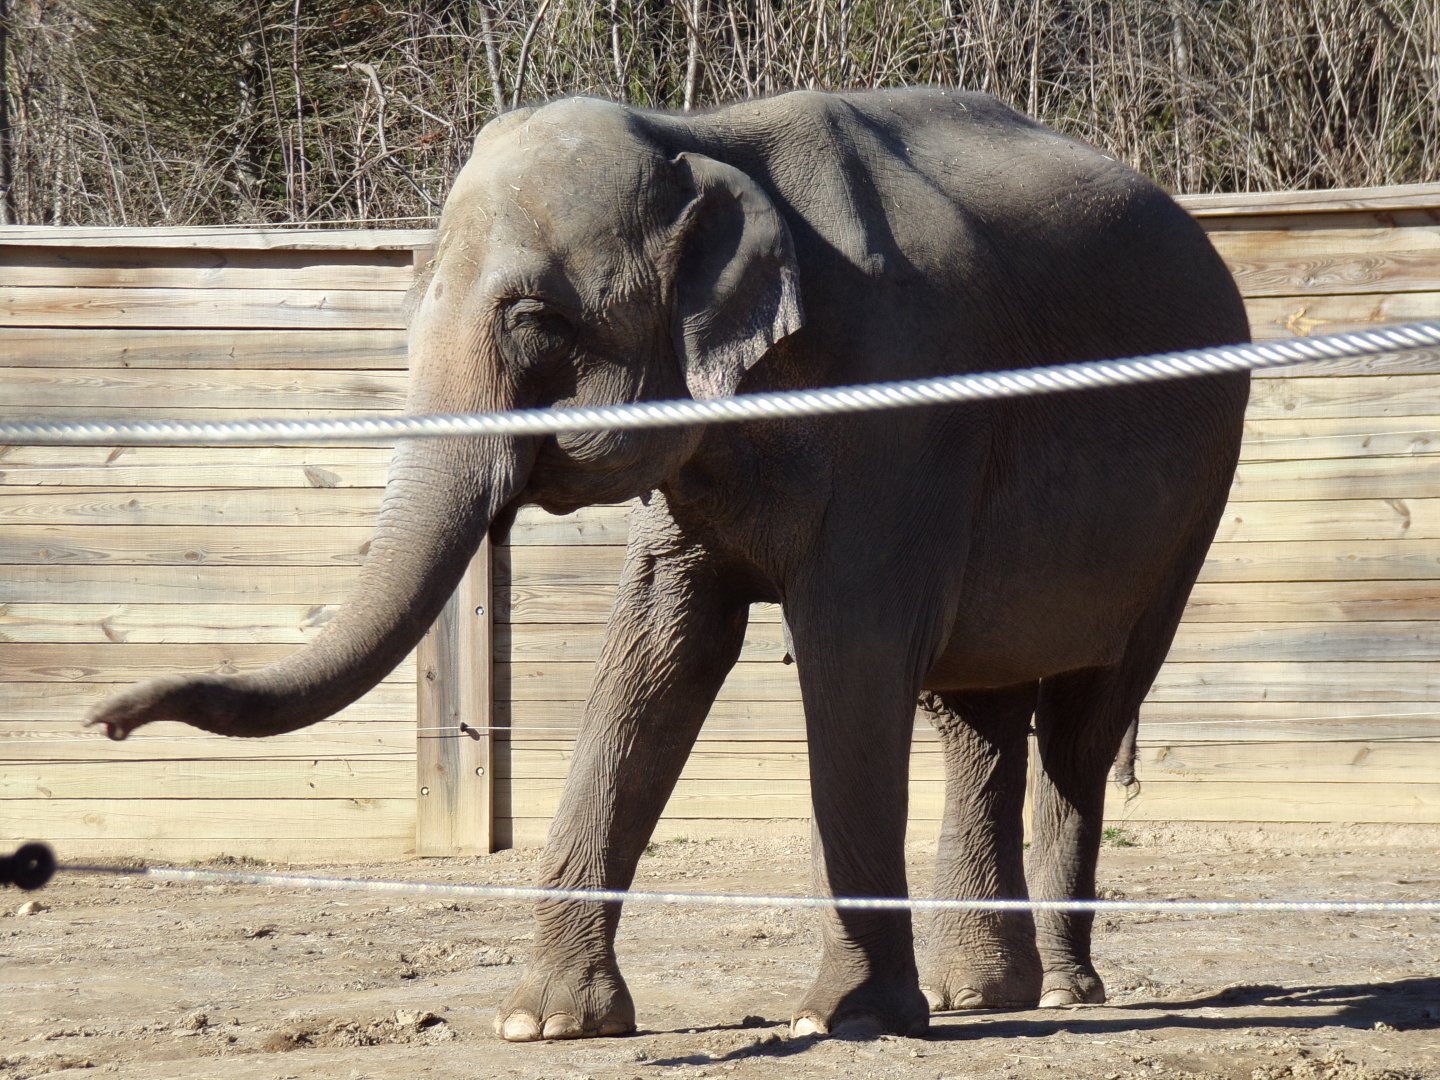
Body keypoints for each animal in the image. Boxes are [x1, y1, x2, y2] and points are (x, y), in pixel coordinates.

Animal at [87, 88, 1250, 1040]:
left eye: (535, 318)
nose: (106, 718)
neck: (704, 138)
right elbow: (656, 649)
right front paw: (546, 1025)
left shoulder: (907, 407)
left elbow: (851, 652)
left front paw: (849, 1021)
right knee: (977, 712)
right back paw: (984, 995)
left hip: (1195, 495)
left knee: (1086, 720)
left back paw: (1063, 992)